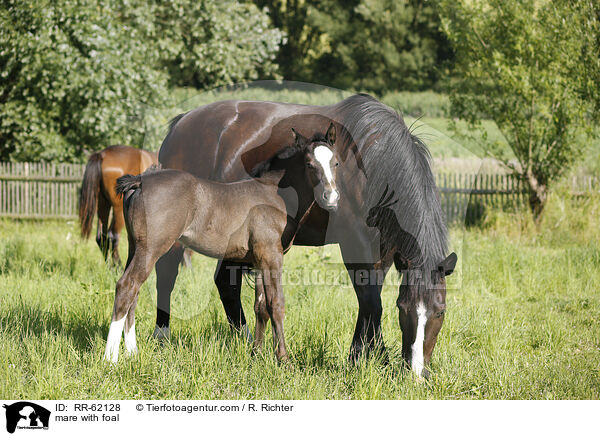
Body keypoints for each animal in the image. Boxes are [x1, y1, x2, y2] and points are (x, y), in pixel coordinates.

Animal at [104, 124, 342, 362]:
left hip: (134, 247)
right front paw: (283, 359)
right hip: (151, 248)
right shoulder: (271, 256)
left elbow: (260, 307)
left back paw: (132, 352)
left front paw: (256, 354)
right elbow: (276, 304)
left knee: (134, 292)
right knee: (127, 286)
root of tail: (140, 181)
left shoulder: (259, 261)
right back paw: (110, 359)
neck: (273, 195)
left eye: (336, 163)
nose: (331, 197)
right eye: (309, 164)